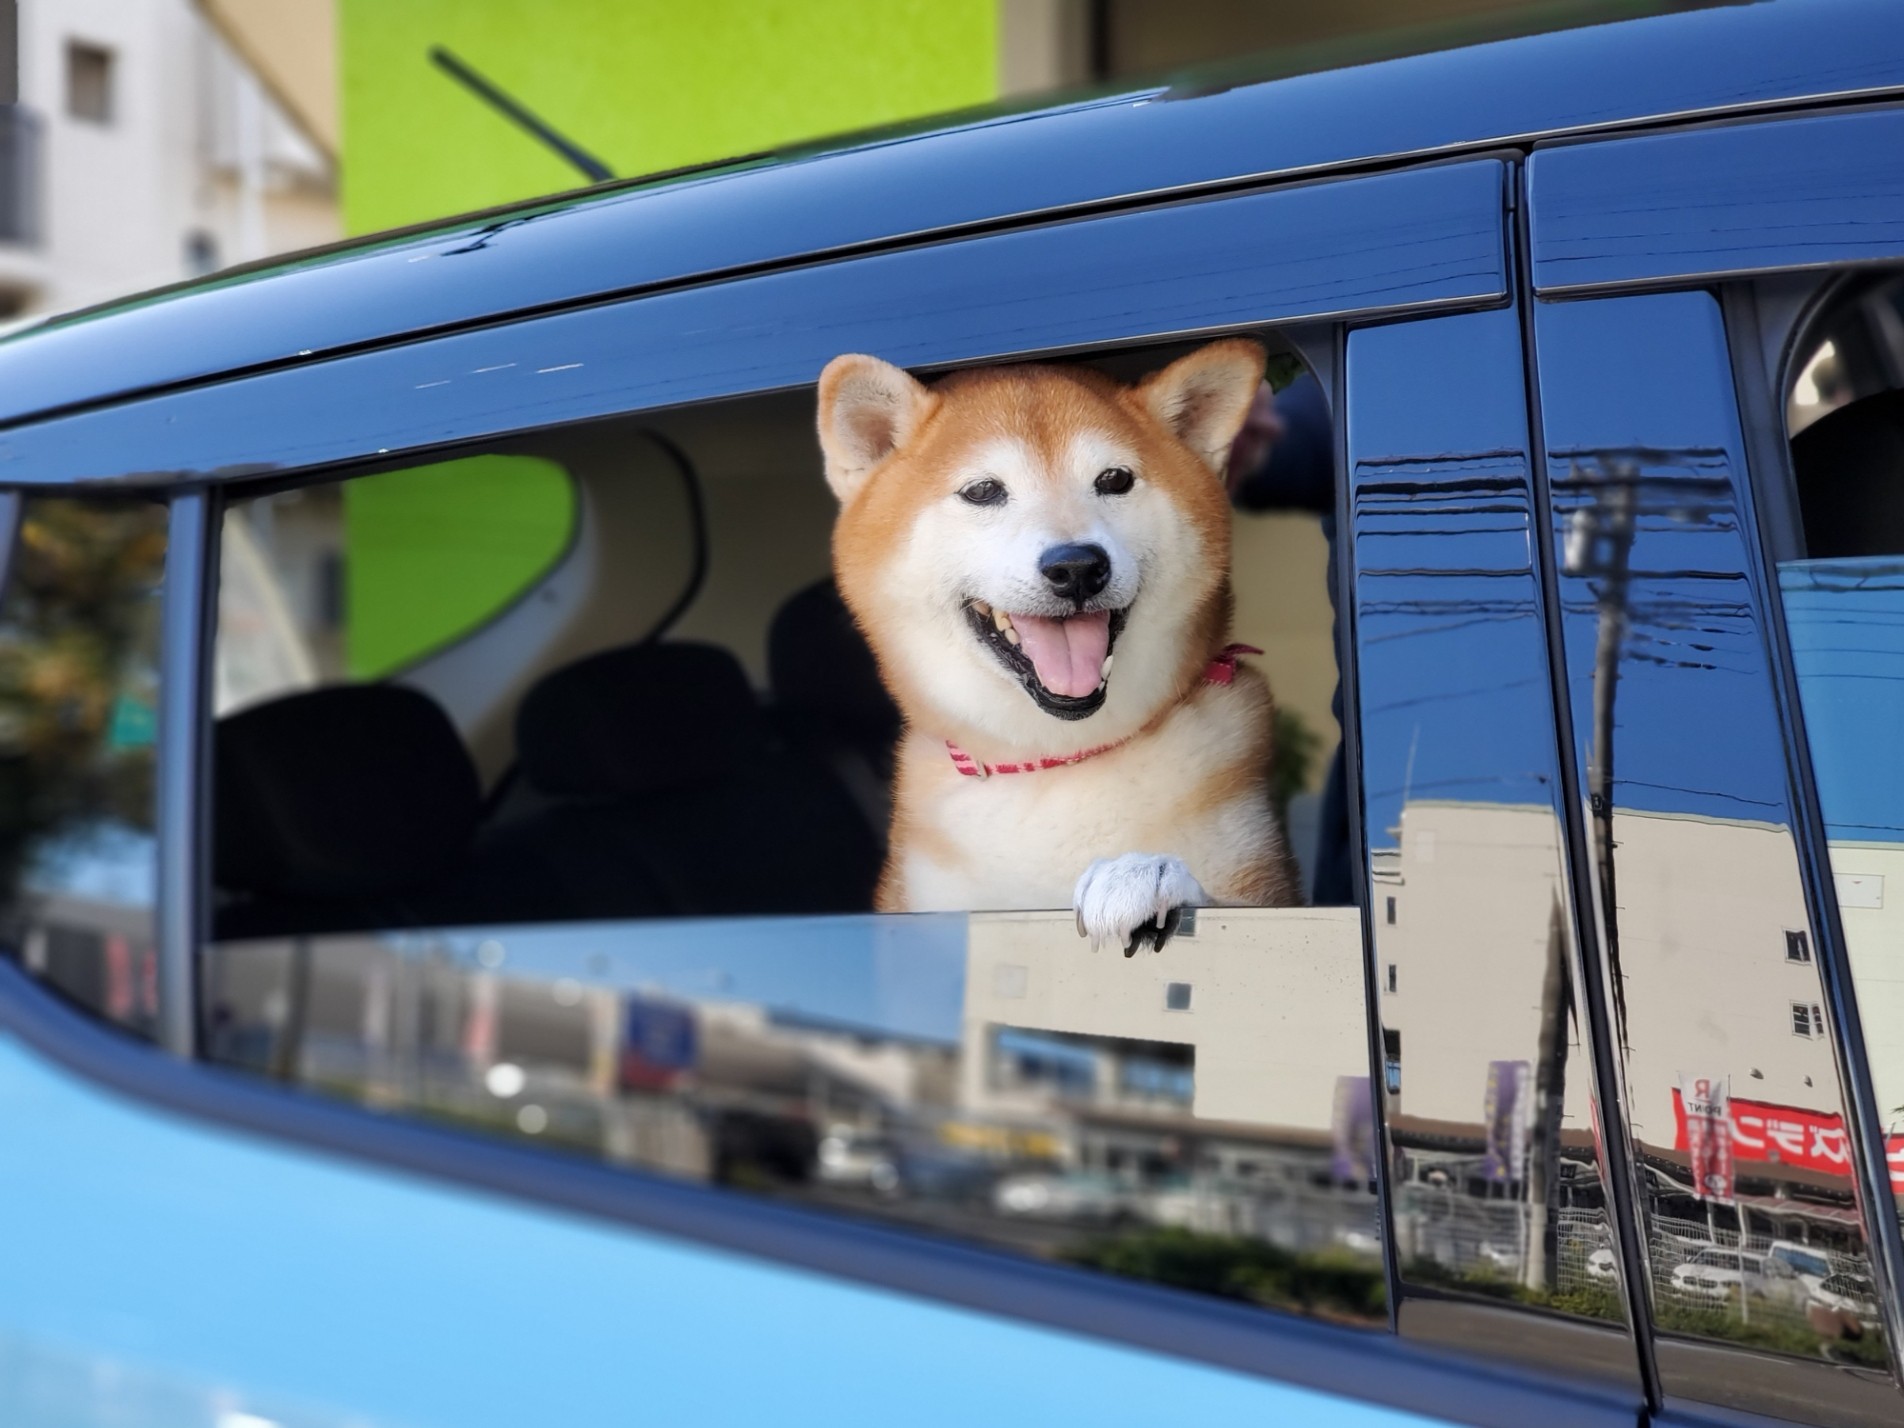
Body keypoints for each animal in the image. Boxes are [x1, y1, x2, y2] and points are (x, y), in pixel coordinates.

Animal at [811, 340, 1302, 955]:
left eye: (1114, 479)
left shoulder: (1260, 874)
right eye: (983, 491)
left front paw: (1142, 873)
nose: (1077, 567)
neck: (1056, 761)